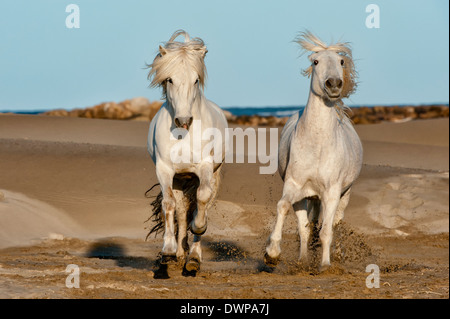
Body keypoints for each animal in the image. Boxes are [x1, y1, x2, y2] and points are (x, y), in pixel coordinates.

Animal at [147, 30, 227, 276]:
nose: (183, 121)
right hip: (181, 179)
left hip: (211, 175)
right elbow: (169, 205)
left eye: (196, 80)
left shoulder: (204, 168)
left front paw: (197, 231)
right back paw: (181, 253)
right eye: (169, 79)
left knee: (202, 205)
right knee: (181, 211)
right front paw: (169, 252)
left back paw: (193, 258)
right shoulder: (165, 170)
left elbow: (201, 202)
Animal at [266, 31, 364, 272]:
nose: (334, 84)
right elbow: (284, 207)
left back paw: (334, 255)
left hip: (343, 195)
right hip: (307, 197)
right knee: (305, 226)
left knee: (334, 223)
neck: (317, 144)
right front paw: (272, 253)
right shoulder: (294, 186)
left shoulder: (332, 192)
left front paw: (326, 264)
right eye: (315, 61)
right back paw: (303, 260)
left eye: (341, 61)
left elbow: (327, 229)